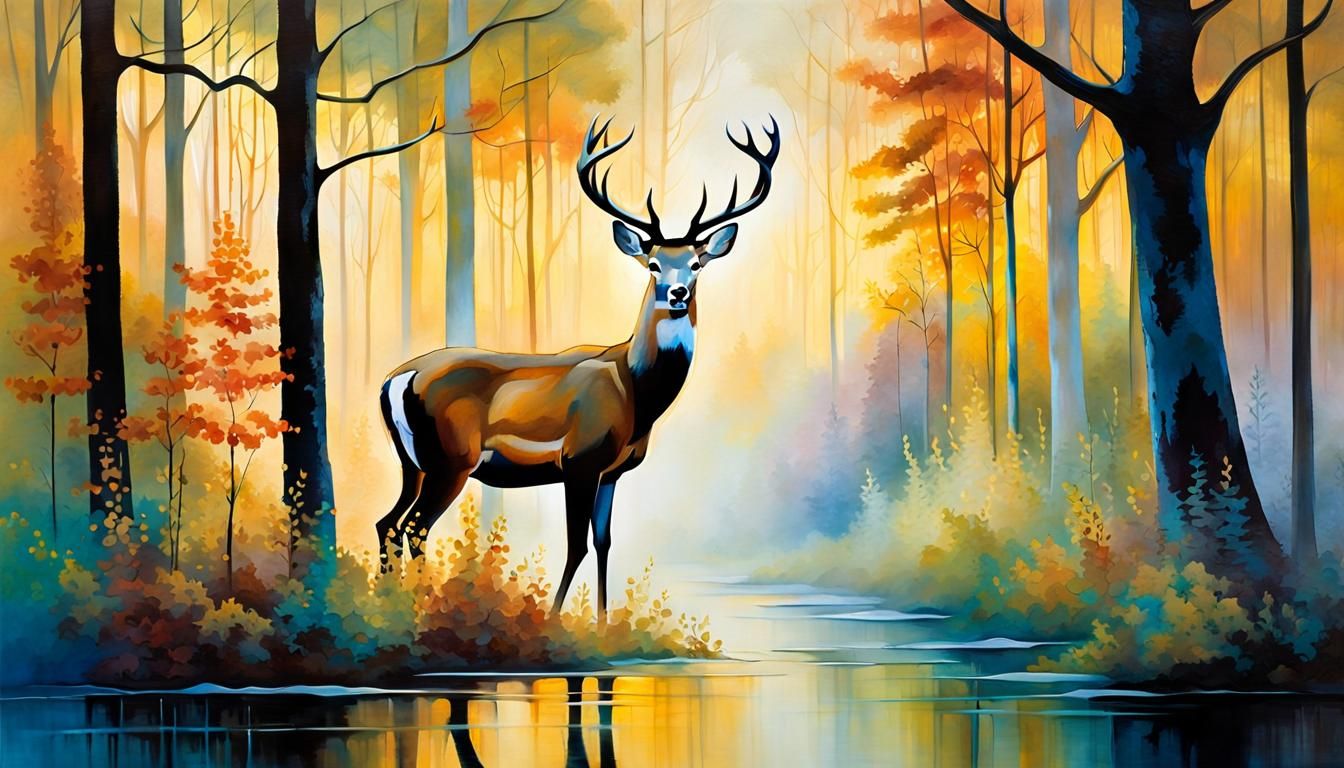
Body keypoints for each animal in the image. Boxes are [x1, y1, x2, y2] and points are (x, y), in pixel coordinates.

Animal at [374, 115, 780, 620]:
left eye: (697, 263)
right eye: (652, 264)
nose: (677, 293)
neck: (635, 390)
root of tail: (396, 379)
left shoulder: (614, 470)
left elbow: (604, 542)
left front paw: (603, 621)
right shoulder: (580, 458)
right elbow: (576, 545)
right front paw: (554, 619)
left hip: (412, 462)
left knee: (387, 523)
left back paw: (391, 604)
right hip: (452, 458)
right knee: (414, 526)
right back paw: (421, 606)